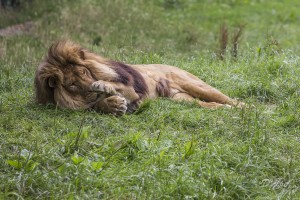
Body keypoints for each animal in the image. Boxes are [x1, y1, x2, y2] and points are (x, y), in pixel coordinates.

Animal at [34, 40, 244, 115]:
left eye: (84, 72)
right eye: (72, 85)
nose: (92, 88)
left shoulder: (134, 90)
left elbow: (117, 85)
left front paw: (103, 86)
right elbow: (97, 105)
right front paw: (112, 105)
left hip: (196, 85)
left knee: (232, 100)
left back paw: (247, 109)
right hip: (182, 99)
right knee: (213, 105)